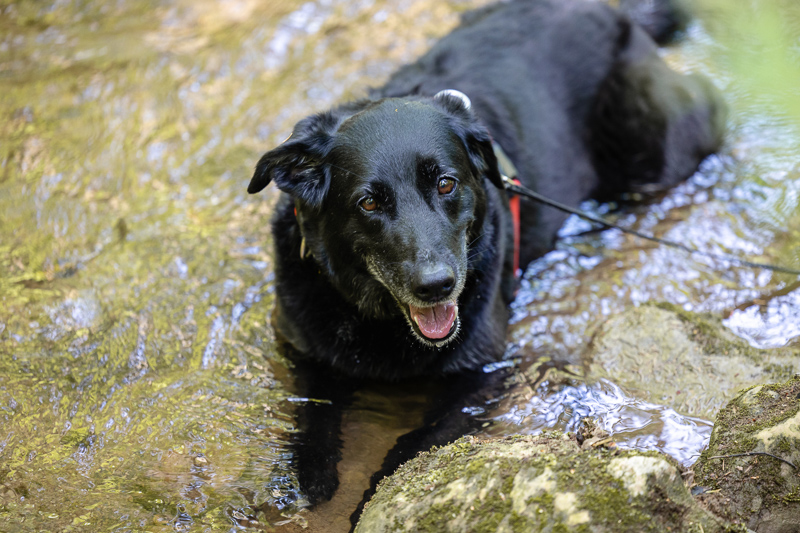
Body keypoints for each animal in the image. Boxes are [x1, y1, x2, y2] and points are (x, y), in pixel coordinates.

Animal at [245, 0, 724, 524]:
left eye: (446, 183)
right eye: (368, 203)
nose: (436, 285)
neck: (381, 321)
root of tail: (612, 12)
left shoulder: (480, 375)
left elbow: (413, 446)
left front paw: (369, 501)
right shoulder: (305, 353)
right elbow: (312, 414)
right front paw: (308, 479)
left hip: (653, 148)